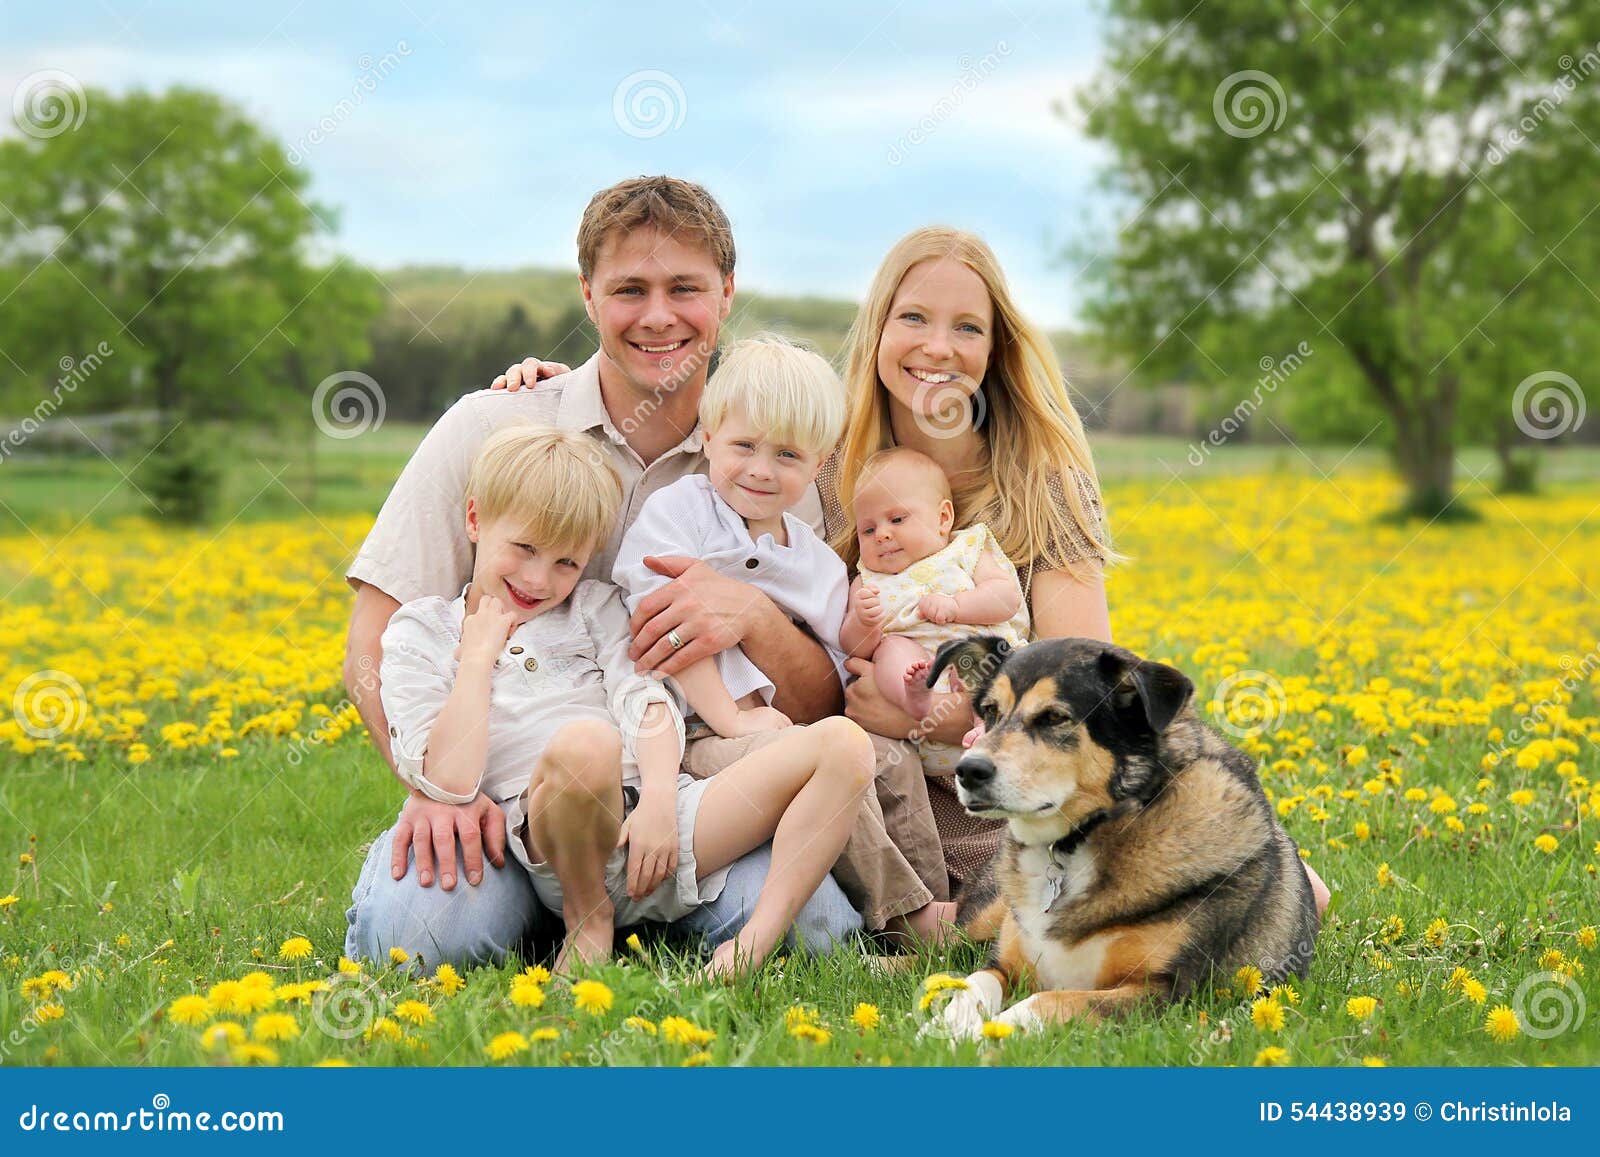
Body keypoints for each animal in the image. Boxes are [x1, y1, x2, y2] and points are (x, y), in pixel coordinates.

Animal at [921, 633, 1318, 1043]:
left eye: (1054, 717)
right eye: (990, 712)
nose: (968, 770)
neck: (1073, 846)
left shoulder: (1164, 994)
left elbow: (1045, 1001)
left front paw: (989, 1032)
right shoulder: (1003, 964)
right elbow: (972, 984)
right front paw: (944, 1027)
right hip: (982, 918)